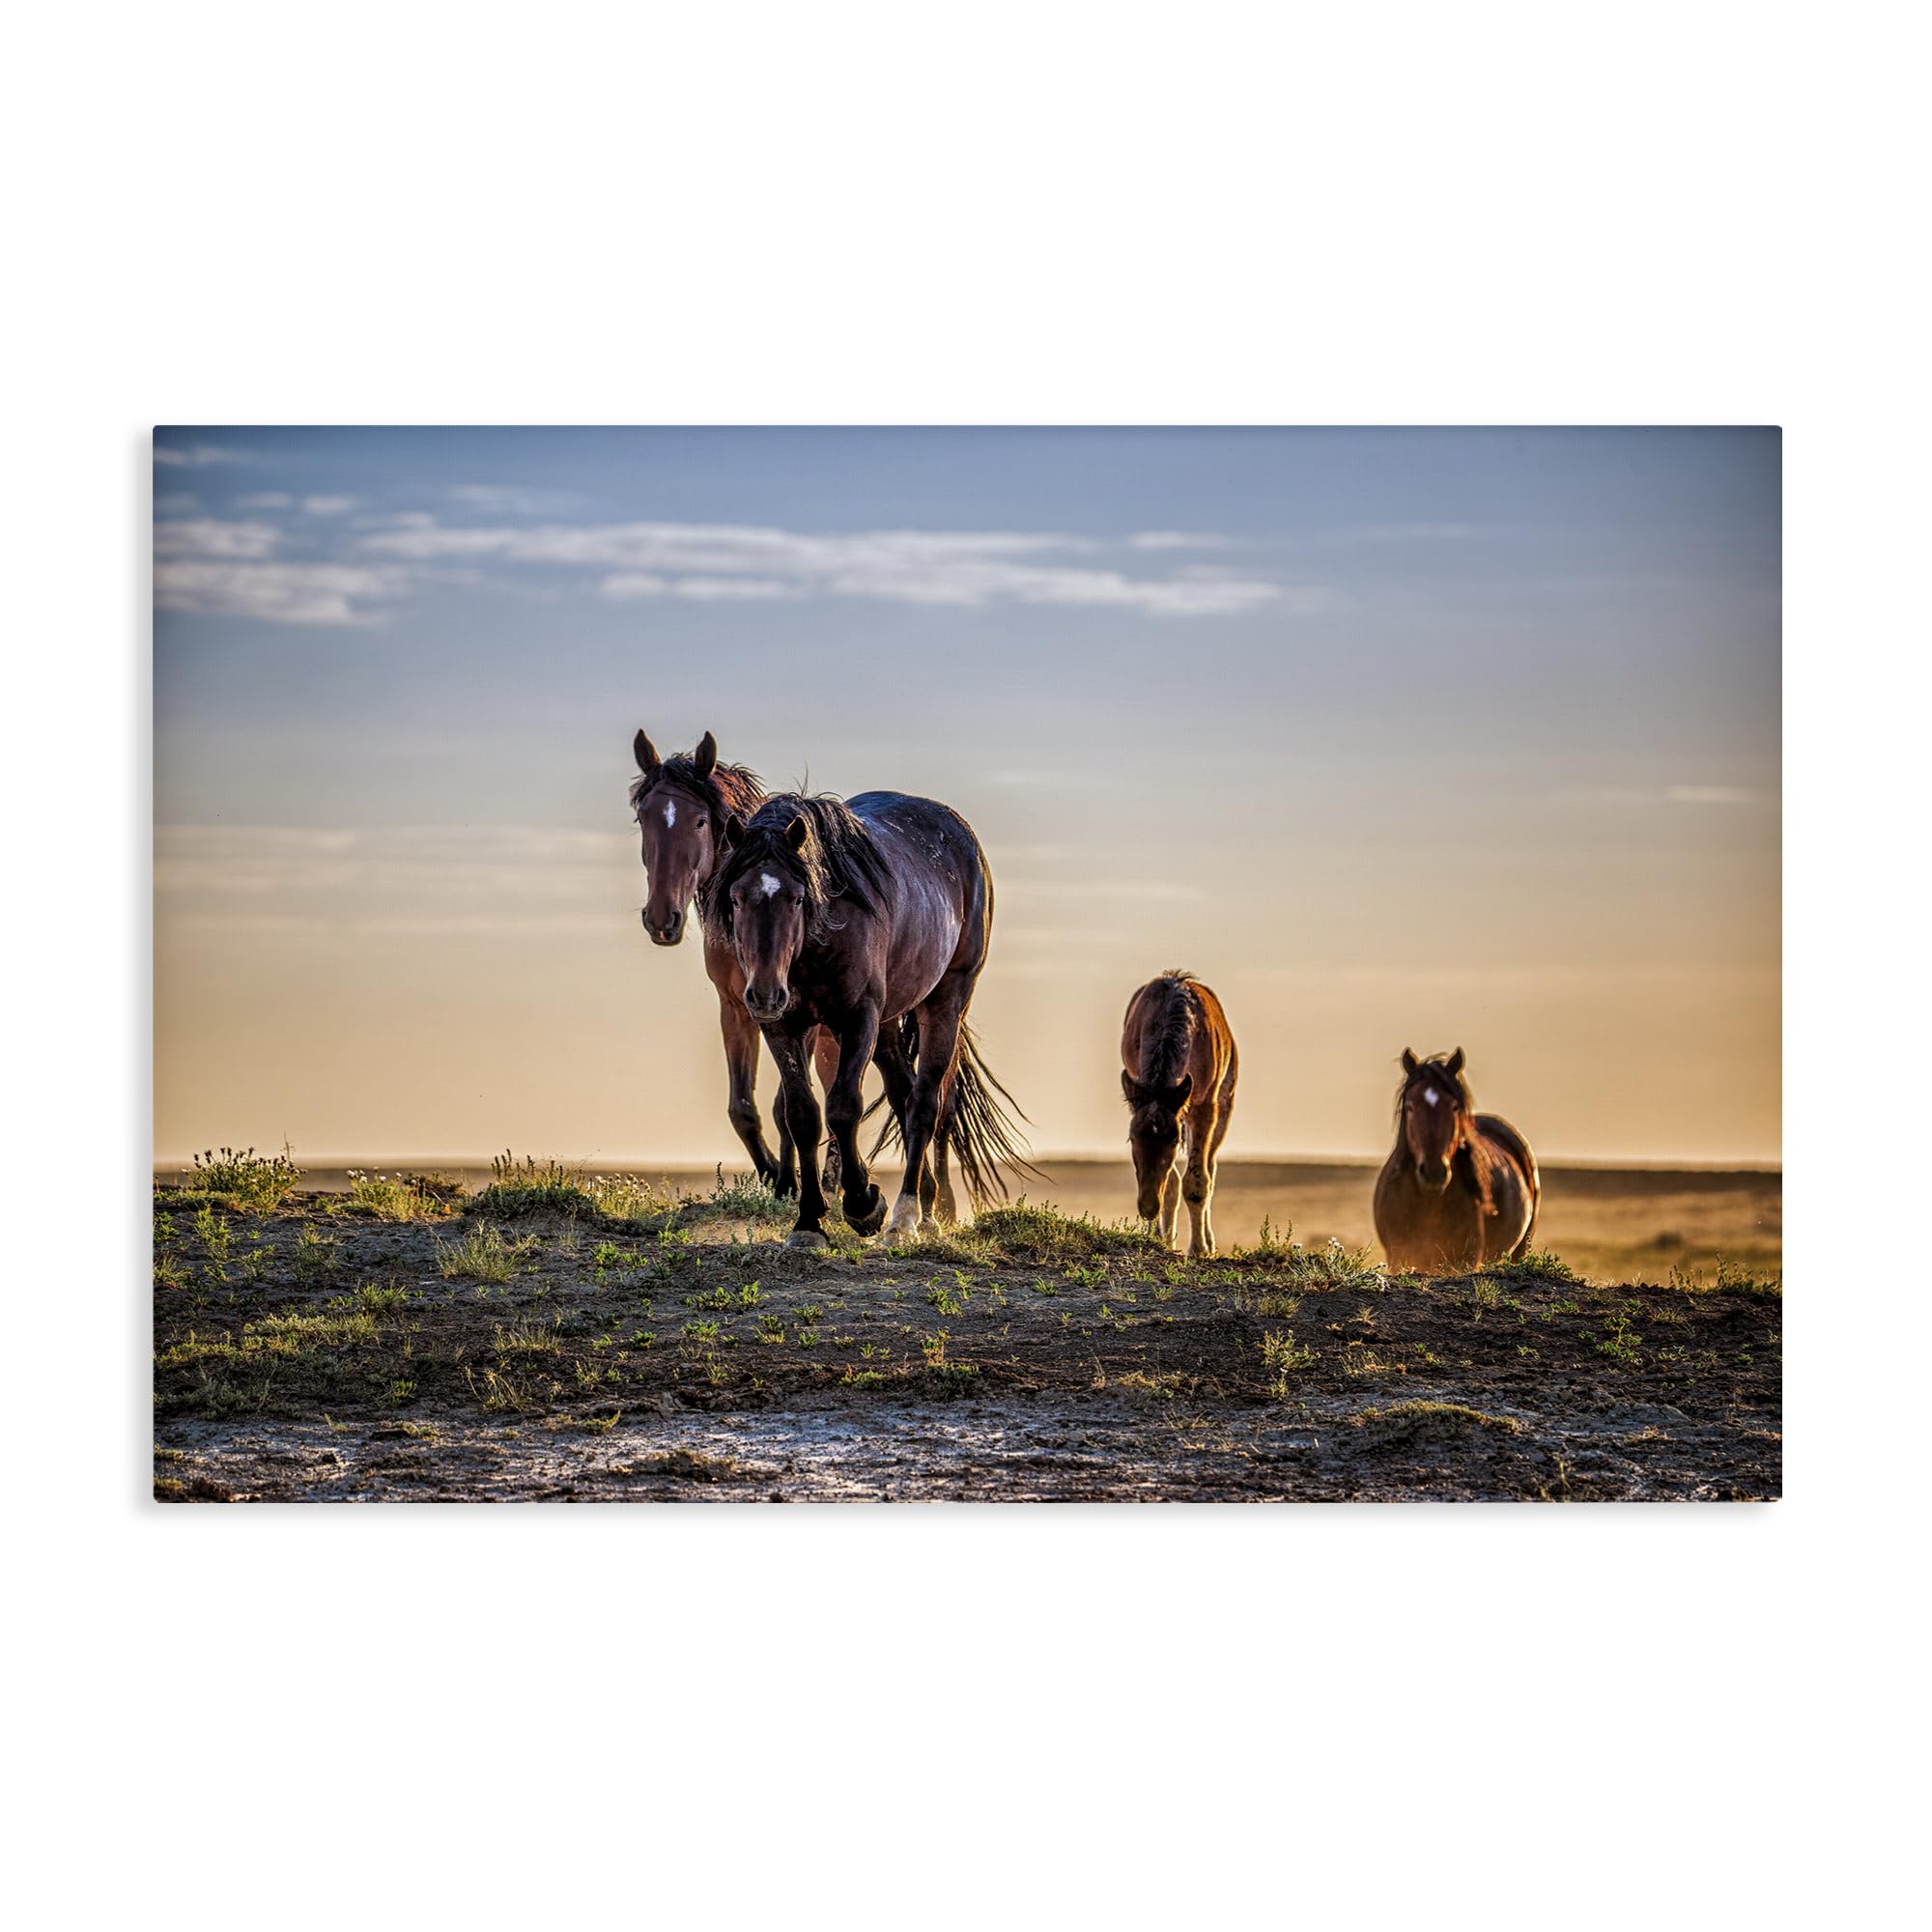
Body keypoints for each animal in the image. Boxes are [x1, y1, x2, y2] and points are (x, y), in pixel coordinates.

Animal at [712, 788, 1033, 1248]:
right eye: (736, 899)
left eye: (797, 898)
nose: (765, 993)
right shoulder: (782, 1026)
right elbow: (803, 1115)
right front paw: (808, 1222)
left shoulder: (857, 1018)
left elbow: (844, 1107)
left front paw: (864, 1205)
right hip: (886, 1025)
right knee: (903, 1094)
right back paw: (926, 1207)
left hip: (946, 1001)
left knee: (924, 1103)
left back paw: (905, 1217)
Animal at [1120, 971, 1238, 1255]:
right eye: (1132, 1139)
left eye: (1173, 1140)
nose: (1148, 1206)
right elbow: (1172, 1181)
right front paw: (1159, 1238)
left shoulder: (1204, 1107)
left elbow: (1197, 1182)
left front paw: (1198, 1249)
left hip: (1223, 1107)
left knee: (1210, 1169)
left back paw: (1209, 1242)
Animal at [1372, 1048, 1540, 1273]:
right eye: (1410, 1106)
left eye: (1454, 1107)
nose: (1434, 1172)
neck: (1430, 1202)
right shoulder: (1398, 1257)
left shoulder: (1466, 1260)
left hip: (1520, 1247)